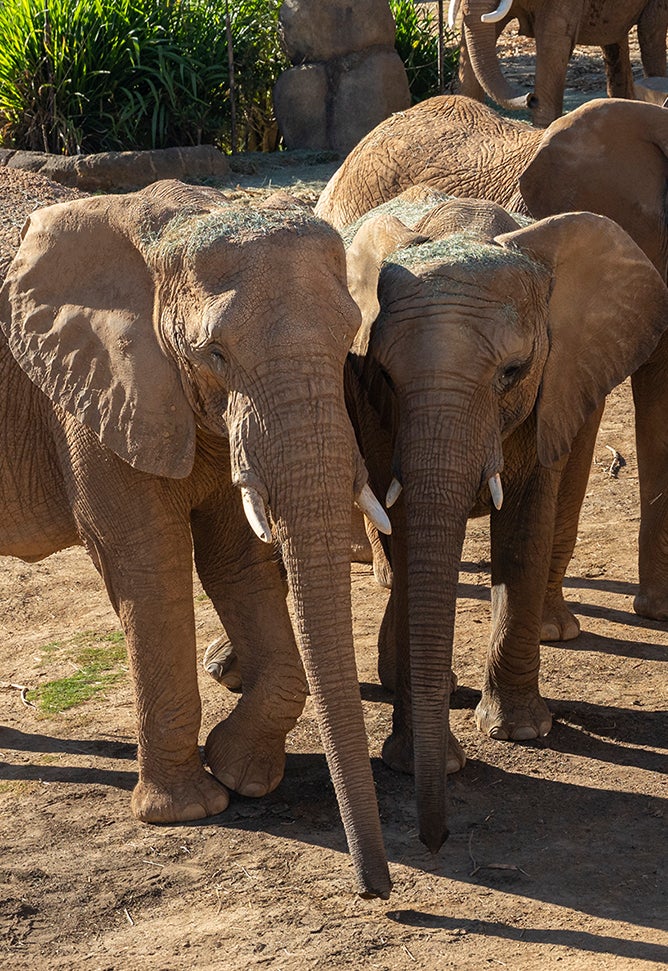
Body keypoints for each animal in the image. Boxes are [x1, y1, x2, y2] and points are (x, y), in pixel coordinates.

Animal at [0, 179, 394, 899]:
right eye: (215, 354)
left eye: (349, 337)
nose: (375, 891)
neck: (169, 235)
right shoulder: (98, 397)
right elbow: (147, 566)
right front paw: (189, 811)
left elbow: (236, 558)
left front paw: (242, 775)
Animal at [342, 191, 668, 849]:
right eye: (384, 373)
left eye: (512, 372)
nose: (435, 839)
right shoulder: (376, 408)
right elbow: (408, 532)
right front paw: (424, 761)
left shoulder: (554, 382)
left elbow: (524, 530)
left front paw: (518, 733)